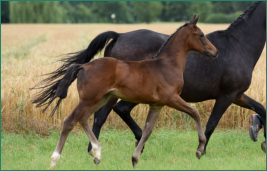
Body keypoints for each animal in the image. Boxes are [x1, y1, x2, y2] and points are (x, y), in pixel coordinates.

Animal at [32, 16, 219, 168]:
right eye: (201, 35)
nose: (215, 52)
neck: (167, 65)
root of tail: (84, 66)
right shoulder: (171, 98)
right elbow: (195, 112)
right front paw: (200, 149)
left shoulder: (156, 105)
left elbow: (147, 131)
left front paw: (135, 159)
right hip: (89, 99)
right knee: (70, 120)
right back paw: (55, 159)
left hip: (101, 98)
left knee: (83, 119)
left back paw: (96, 152)